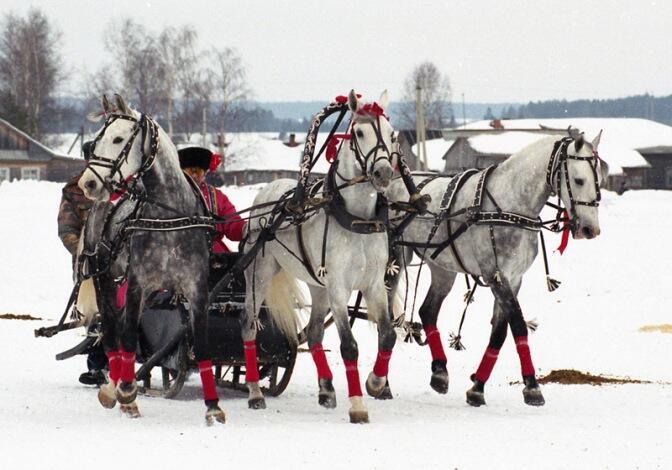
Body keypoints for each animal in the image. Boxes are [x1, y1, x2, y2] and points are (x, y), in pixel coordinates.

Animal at [75, 93, 224, 424]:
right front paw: (126, 392)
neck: (169, 217)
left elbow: (203, 345)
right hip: (105, 280)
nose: (88, 184)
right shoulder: (136, 285)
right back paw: (115, 388)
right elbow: (129, 337)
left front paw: (213, 407)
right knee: (113, 331)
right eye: (96, 140)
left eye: (118, 138)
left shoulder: (197, 289)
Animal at [242, 90, 400, 424]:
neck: (356, 218)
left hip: (318, 285)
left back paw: (326, 389)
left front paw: (375, 382)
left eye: (392, 134)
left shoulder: (373, 284)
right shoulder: (339, 287)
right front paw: (358, 406)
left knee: (314, 333)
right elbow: (349, 346)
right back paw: (255, 393)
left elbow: (388, 335)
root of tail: (269, 191)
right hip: (260, 273)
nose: (383, 173)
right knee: (248, 324)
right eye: (359, 132)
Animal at [384, 132, 608, 408]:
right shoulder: (496, 276)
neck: (509, 206)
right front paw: (532, 387)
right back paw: (382, 382)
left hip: (442, 266)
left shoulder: (513, 277)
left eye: (600, 180)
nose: (590, 229)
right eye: (578, 180)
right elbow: (518, 326)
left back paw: (439, 372)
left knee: (427, 311)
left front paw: (477, 387)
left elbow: (499, 332)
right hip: (394, 259)